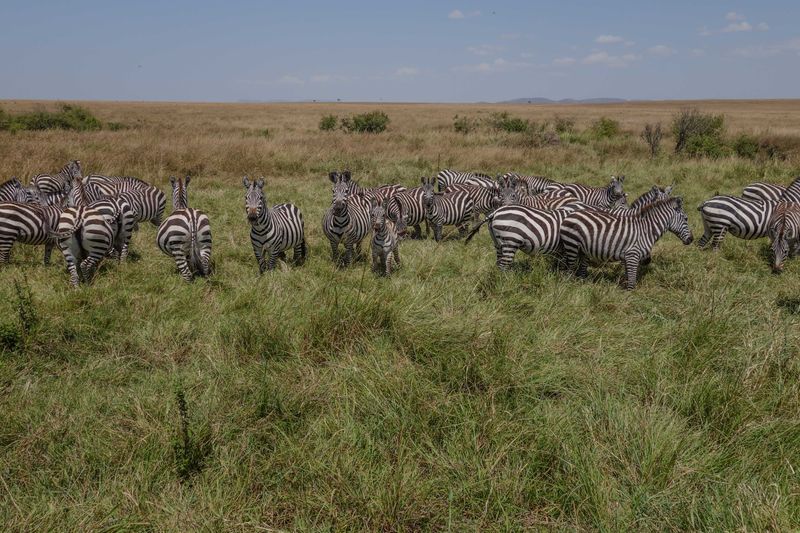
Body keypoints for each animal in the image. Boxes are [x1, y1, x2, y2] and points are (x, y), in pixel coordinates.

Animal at [560, 196, 692, 288]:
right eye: (686, 219)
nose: (692, 239)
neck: (646, 230)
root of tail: (571, 214)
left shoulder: (627, 257)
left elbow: (627, 276)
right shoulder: (632, 255)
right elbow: (632, 281)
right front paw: (630, 298)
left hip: (582, 249)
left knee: (581, 269)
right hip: (571, 245)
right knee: (569, 269)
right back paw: (569, 286)